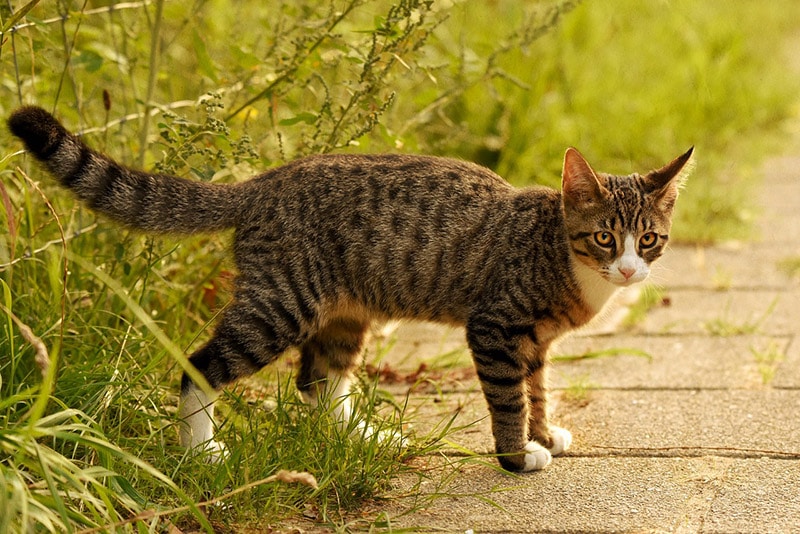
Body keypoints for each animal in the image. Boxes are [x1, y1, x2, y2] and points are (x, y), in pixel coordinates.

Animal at [7, 107, 692, 476]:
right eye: (604, 238)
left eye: (648, 240)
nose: (629, 271)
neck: (561, 256)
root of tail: (264, 183)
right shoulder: (497, 327)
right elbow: (509, 398)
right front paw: (517, 455)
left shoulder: (537, 342)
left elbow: (540, 390)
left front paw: (544, 436)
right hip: (280, 303)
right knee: (200, 365)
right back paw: (201, 453)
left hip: (345, 311)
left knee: (317, 380)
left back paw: (355, 438)